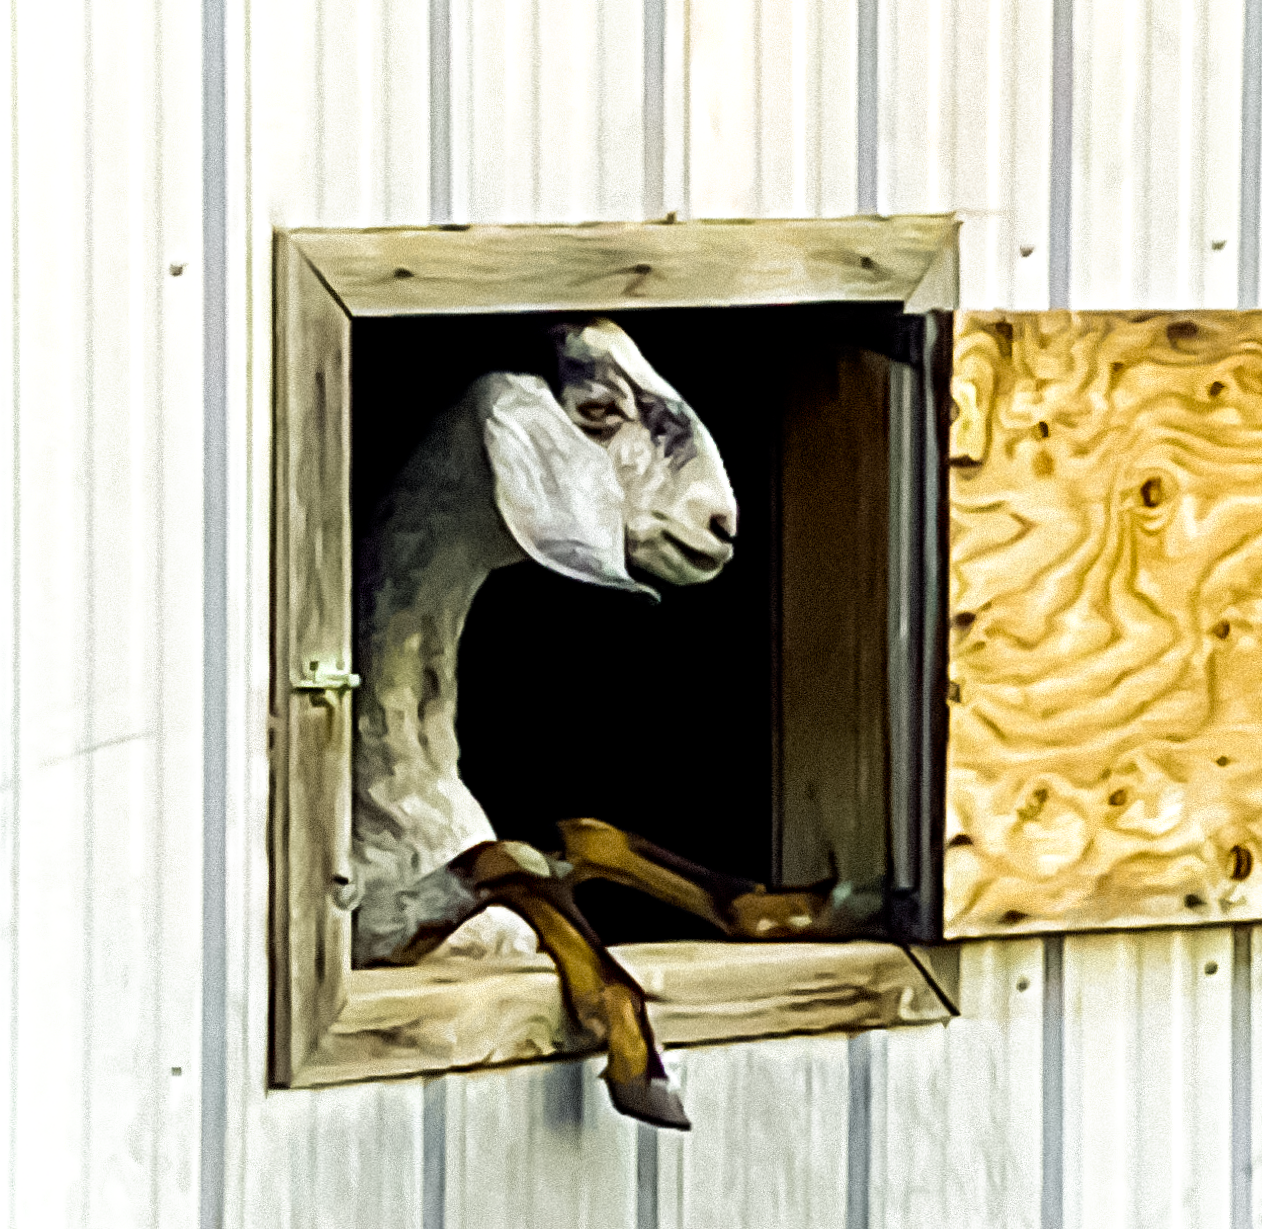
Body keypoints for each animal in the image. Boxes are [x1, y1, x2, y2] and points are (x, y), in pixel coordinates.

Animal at [350, 319, 881, 1128]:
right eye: (598, 409)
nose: (721, 527)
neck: (397, 787)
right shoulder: (364, 931)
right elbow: (516, 857)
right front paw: (642, 1062)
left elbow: (574, 836)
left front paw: (821, 902)